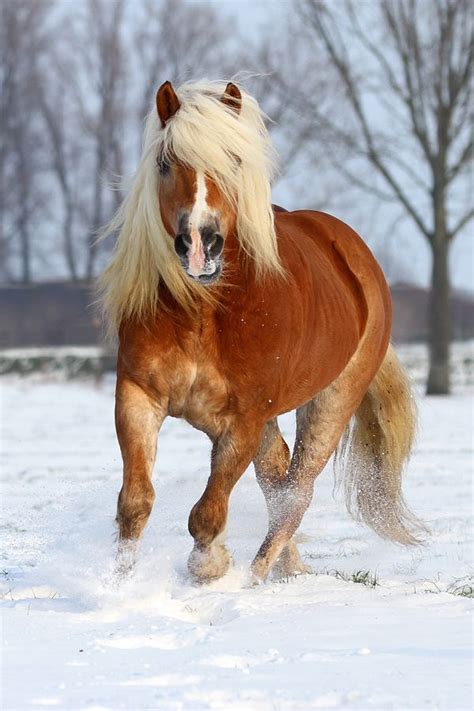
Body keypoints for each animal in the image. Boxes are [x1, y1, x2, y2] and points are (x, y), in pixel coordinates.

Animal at [99, 80, 422, 588]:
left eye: (233, 159)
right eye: (166, 163)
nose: (200, 244)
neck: (204, 314)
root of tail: (352, 251)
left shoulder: (243, 421)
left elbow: (207, 514)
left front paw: (209, 567)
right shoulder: (138, 397)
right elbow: (135, 502)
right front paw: (120, 584)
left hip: (331, 403)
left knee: (296, 494)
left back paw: (254, 578)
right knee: (278, 481)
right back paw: (284, 570)